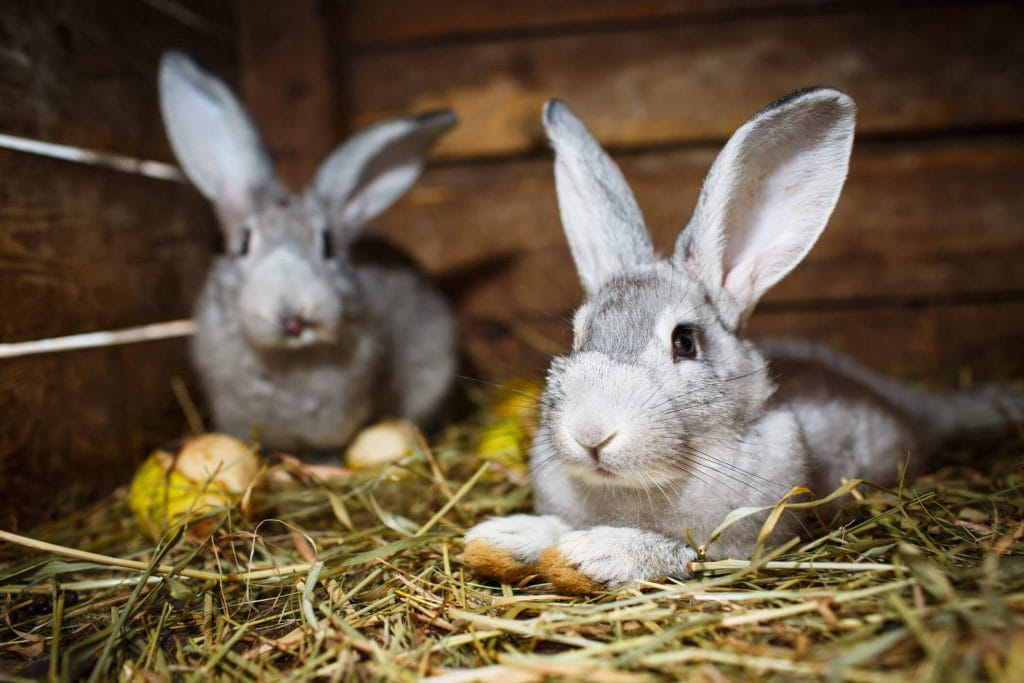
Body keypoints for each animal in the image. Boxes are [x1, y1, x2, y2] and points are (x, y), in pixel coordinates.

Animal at [464, 89, 1015, 593]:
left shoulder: (738, 544)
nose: (591, 433)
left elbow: (683, 552)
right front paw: (498, 540)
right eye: (578, 334)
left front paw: (588, 557)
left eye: (685, 342)